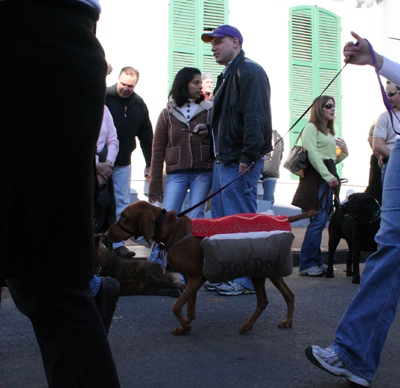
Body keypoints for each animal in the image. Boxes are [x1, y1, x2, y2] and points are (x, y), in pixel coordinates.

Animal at [104, 202, 318, 334]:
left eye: (124, 217)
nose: (105, 234)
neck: (173, 231)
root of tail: (282, 218)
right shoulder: (189, 278)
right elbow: (188, 307)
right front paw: (185, 326)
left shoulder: (197, 278)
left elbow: (175, 306)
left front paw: (186, 325)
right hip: (262, 272)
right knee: (273, 299)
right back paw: (254, 325)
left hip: (269, 270)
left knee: (279, 297)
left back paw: (280, 322)